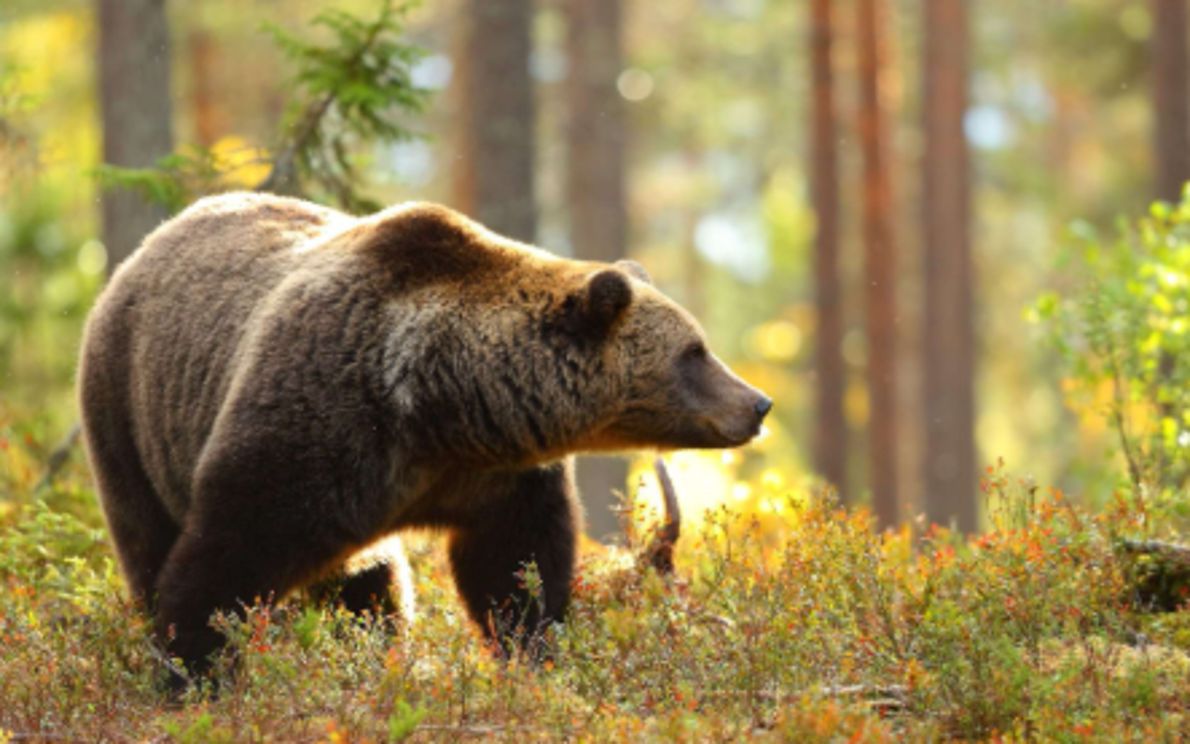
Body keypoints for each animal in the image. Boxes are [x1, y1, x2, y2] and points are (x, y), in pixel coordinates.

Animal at [77, 192, 771, 682]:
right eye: (694, 351)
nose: (758, 404)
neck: (440, 405)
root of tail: (143, 249)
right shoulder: (316, 424)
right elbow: (226, 553)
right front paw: (193, 668)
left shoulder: (495, 476)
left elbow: (513, 568)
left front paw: (536, 651)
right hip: (129, 414)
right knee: (146, 536)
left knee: (369, 585)